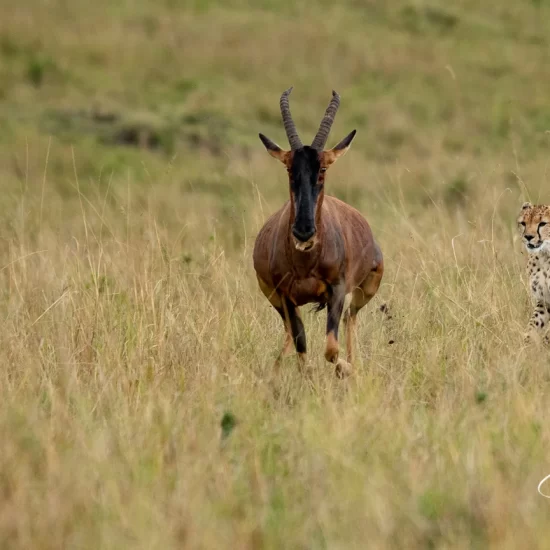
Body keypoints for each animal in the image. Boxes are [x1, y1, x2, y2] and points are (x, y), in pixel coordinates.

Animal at [253, 88, 384, 380]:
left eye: (322, 168)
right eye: (289, 168)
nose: (304, 232)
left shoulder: (337, 290)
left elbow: (331, 348)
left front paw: (345, 370)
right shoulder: (285, 296)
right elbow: (302, 343)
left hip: (365, 289)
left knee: (349, 318)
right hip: (272, 297)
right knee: (291, 332)